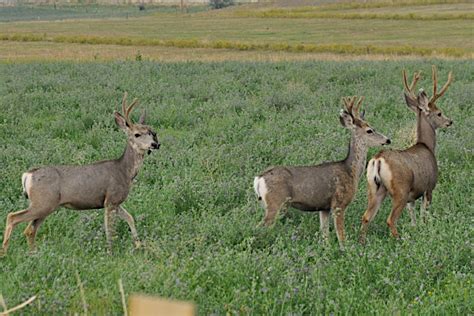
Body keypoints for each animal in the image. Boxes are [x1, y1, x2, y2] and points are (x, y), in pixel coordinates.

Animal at [0, 92, 160, 256]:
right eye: (137, 134)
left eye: (152, 132)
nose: (155, 144)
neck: (124, 171)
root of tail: (28, 175)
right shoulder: (110, 200)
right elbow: (110, 229)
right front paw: (110, 251)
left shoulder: (116, 202)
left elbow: (130, 218)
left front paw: (138, 245)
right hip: (43, 202)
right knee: (13, 217)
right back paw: (5, 253)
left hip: (47, 205)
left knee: (29, 230)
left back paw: (34, 254)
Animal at [254, 96, 390, 247]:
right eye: (369, 130)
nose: (387, 140)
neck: (350, 171)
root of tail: (259, 179)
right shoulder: (339, 203)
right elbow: (341, 235)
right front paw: (346, 249)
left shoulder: (323, 208)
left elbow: (325, 235)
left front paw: (327, 248)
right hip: (275, 203)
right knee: (259, 228)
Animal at [362, 66, 454, 243]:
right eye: (439, 113)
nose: (450, 122)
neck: (427, 146)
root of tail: (378, 159)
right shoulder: (428, 187)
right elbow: (424, 214)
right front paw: (425, 228)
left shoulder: (412, 196)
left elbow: (413, 216)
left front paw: (415, 228)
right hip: (400, 190)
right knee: (390, 219)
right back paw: (399, 240)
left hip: (375, 188)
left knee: (366, 217)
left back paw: (360, 243)